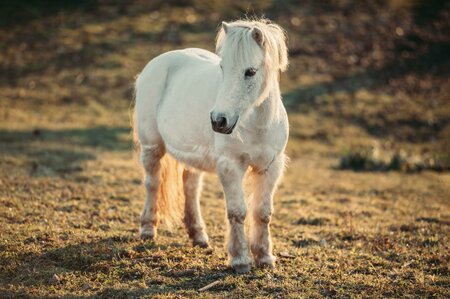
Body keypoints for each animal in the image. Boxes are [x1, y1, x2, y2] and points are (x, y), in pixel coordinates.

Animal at [133, 17, 288, 274]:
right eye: (223, 67)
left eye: (250, 71)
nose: (219, 120)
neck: (256, 123)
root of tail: (160, 61)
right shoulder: (230, 166)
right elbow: (237, 212)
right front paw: (240, 260)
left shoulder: (270, 167)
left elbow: (263, 213)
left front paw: (265, 257)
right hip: (152, 147)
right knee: (153, 183)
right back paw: (147, 229)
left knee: (191, 188)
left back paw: (198, 236)